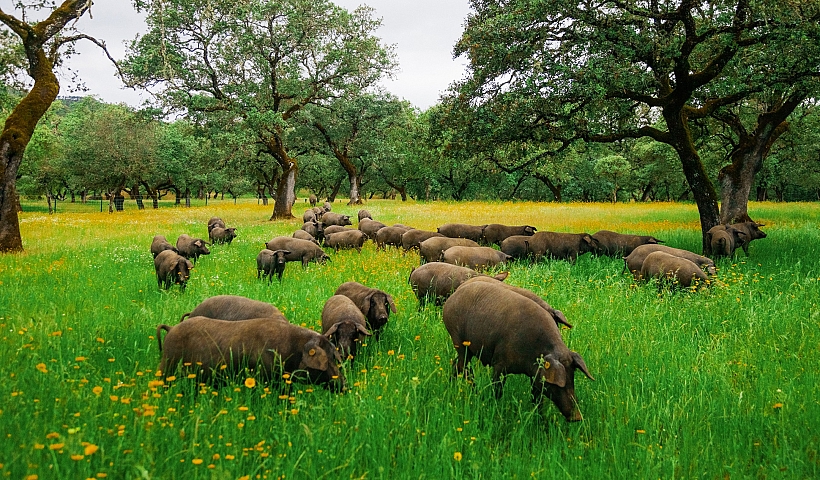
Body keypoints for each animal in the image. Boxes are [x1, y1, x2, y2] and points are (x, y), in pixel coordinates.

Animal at [446, 284, 592, 422]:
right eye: (558, 383)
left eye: (572, 377)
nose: (577, 417)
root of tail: (452, 297)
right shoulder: (499, 364)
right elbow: (497, 390)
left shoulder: (535, 375)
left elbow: (537, 399)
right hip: (458, 339)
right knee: (464, 367)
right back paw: (476, 393)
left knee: (456, 364)